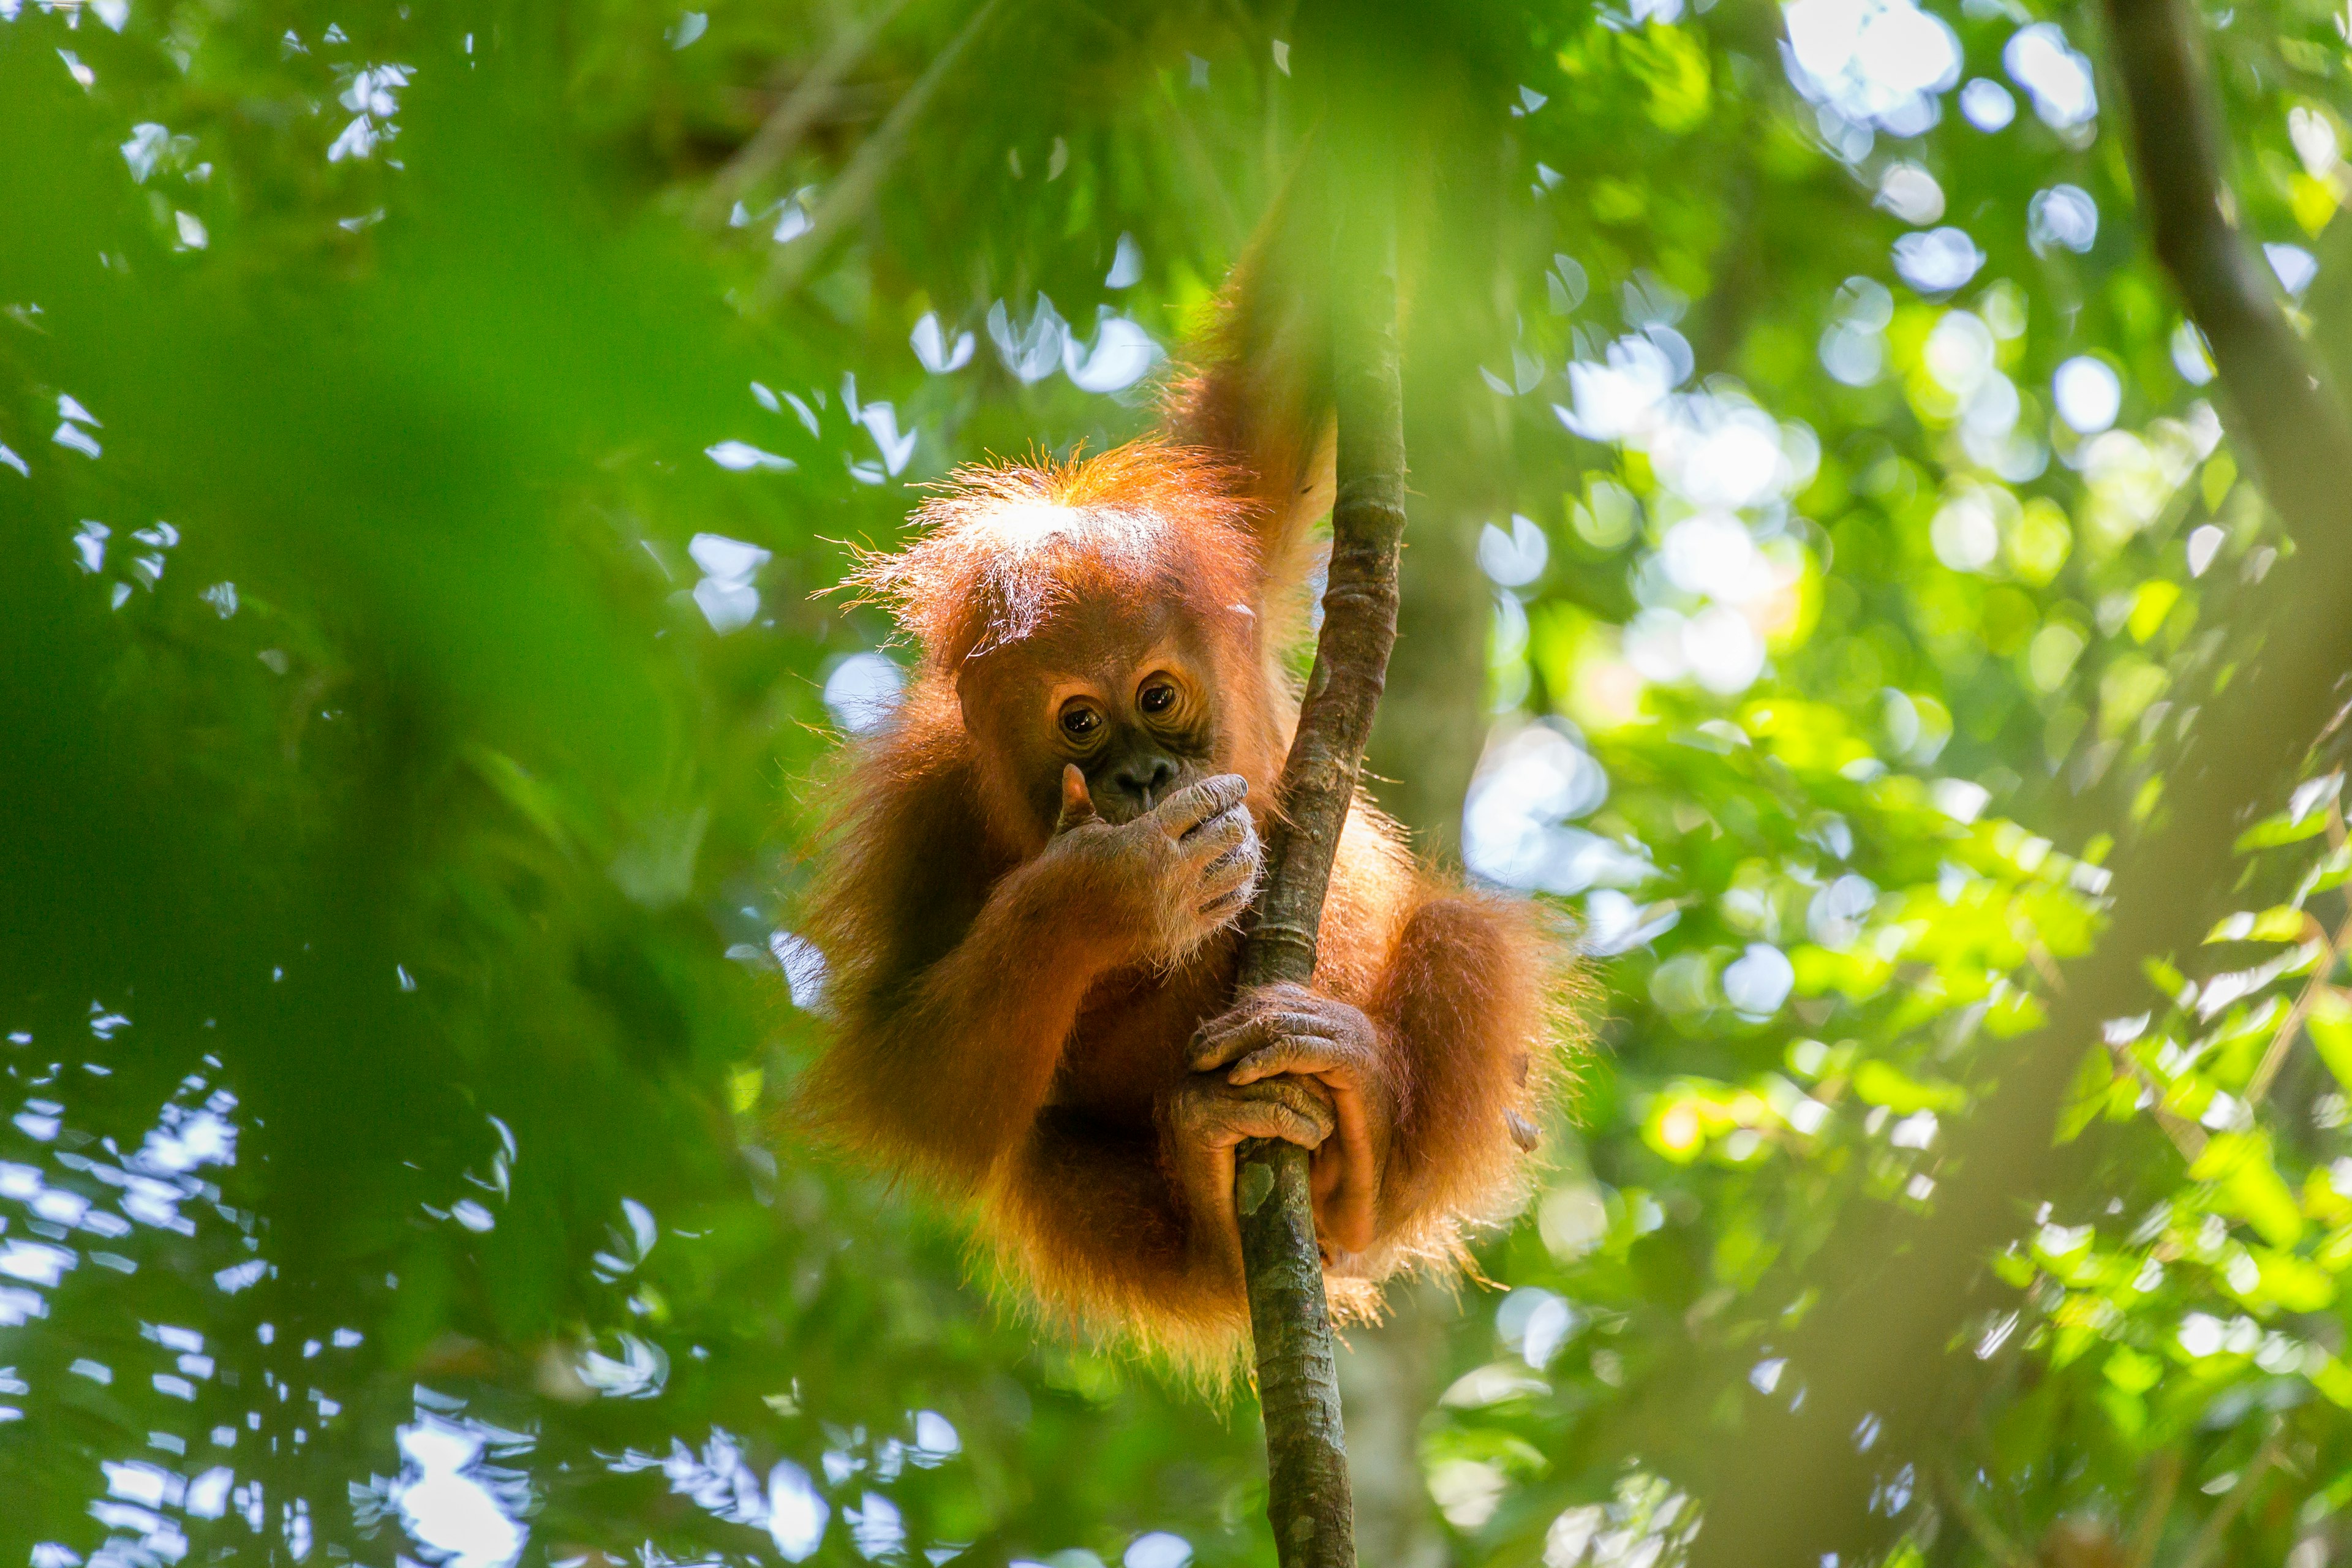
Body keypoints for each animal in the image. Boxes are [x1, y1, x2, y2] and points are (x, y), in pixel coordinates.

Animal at [797, 229, 1566, 1371]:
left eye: (1159, 698)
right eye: (1080, 722)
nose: (1144, 781)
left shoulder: (1230, 540)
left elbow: (1282, 365)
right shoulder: (920, 812)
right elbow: (906, 1080)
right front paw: (1111, 891)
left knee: (1462, 940)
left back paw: (1364, 1133)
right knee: (1042, 1155)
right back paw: (1211, 1195)